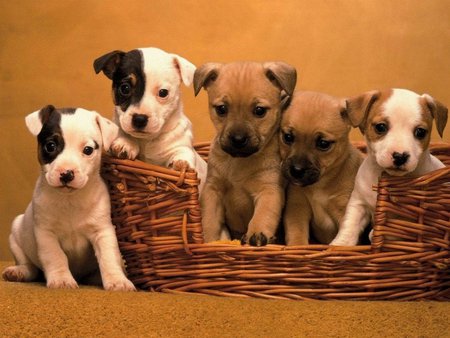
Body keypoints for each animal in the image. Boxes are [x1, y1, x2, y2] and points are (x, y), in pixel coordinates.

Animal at [1, 105, 135, 290]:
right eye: (50, 146)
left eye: (88, 150)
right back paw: (19, 271)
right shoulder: (46, 234)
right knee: (30, 267)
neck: (70, 200)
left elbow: (109, 257)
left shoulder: (102, 231)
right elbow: (55, 256)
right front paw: (61, 279)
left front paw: (117, 280)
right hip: (16, 235)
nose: (66, 174)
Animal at [95, 46, 207, 193]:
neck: (146, 141)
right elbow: (121, 132)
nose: (139, 119)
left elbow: (183, 153)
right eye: (125, 88)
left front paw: (181, 163)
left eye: (163, 93)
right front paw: (126, 143)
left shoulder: (181, 145)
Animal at [192, 61, 296, 246]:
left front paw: (257, 233)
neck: (239, 162)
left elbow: (262, 215)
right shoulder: (213, 191)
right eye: (222, 109)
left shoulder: (268, 191)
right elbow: (209, 220)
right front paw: (209, 241)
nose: (238, 139)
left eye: (260, 111)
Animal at [280, 92, 364, 246]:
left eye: (323, 144)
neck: (320, 184)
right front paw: (298, 246)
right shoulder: (297, 209)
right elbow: (297, 235)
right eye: (288, 137)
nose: (297, 170)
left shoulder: (343, 211)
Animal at [328, 88, 448, 246]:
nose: (400, 156)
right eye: (381, 127)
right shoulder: (358, 203)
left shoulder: (409, 217)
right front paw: (341, 244)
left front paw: (376, 234)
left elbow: (396, 229)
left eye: (420, 132)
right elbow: (350, 224)